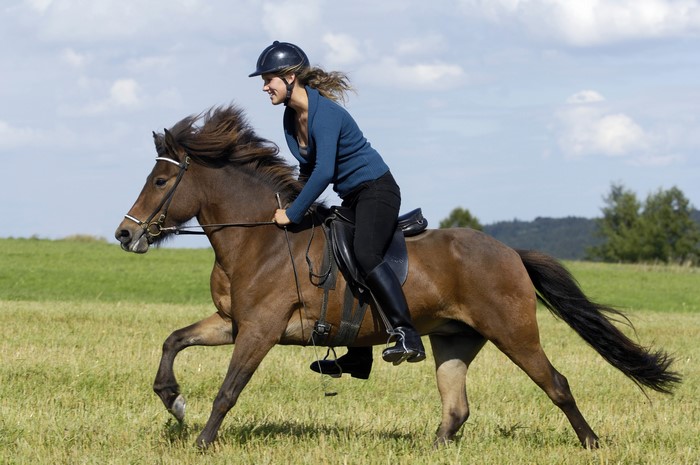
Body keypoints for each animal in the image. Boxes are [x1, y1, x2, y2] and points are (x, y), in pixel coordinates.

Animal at [114, 105, 681, 449]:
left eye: (161, 180)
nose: (125, 234)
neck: (259, 239)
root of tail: (510, 254)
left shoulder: (259, 330)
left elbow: (229, 389)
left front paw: (202, 440)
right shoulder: (233, 323)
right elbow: (173, 342)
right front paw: (174, 402)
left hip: (514, 332)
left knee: (557, 385)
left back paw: (592, 443)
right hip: (455, 339)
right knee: (456, 409)